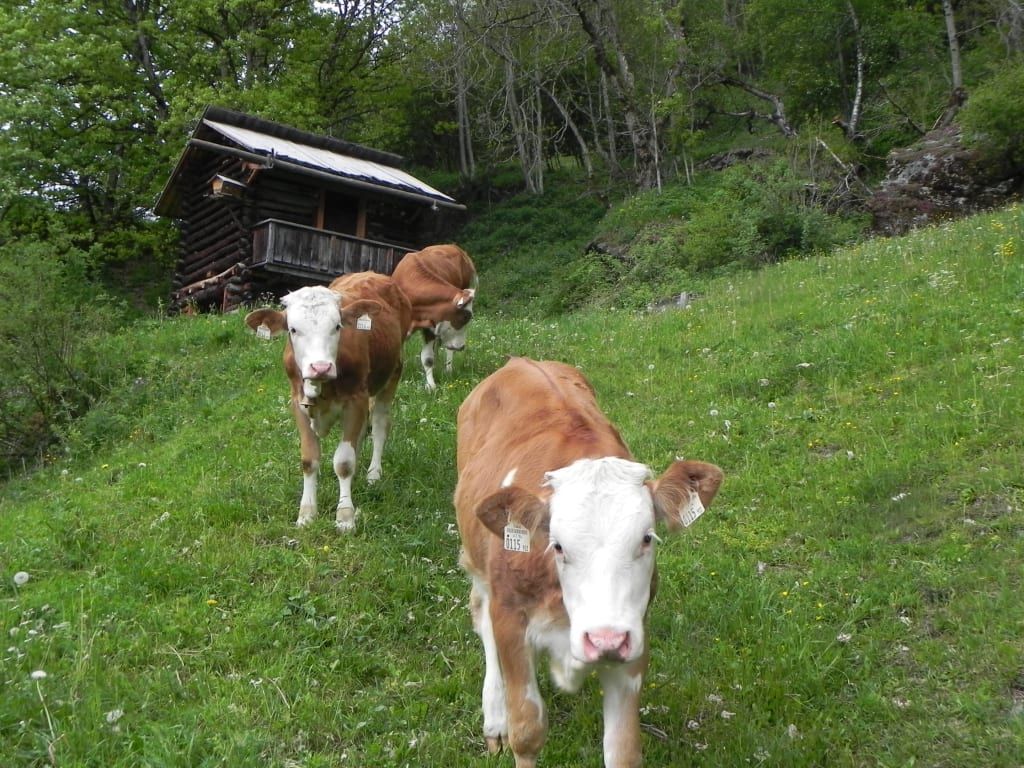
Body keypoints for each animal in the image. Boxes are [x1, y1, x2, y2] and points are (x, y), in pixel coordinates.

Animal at [245, 272, 412, 531]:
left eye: (337, 326)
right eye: (293, 329)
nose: (320, 367)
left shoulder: (355, 399)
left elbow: (344, 462)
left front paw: (345, 516)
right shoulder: (298, 403)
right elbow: (309, 460)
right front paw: (306, 514)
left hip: (393, 371)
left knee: (380, 424)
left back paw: (373, 473)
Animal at [391, 244, 477, 392]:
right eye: (466, 316)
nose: (462, 347)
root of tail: (454, 246)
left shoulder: (430, 326)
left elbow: (428, 358)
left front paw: (430, 386)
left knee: (446, 348)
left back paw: (448, 369)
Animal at [454, 357, 723, 768]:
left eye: (647, 538)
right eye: (558, 546)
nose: (603, 639)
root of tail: (519, 360)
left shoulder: (632, 633)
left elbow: (623, 750)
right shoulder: (510, 619)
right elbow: (527, 731)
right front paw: (509, 724)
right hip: (478, 563)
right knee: (480, 616)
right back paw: (495, 717)